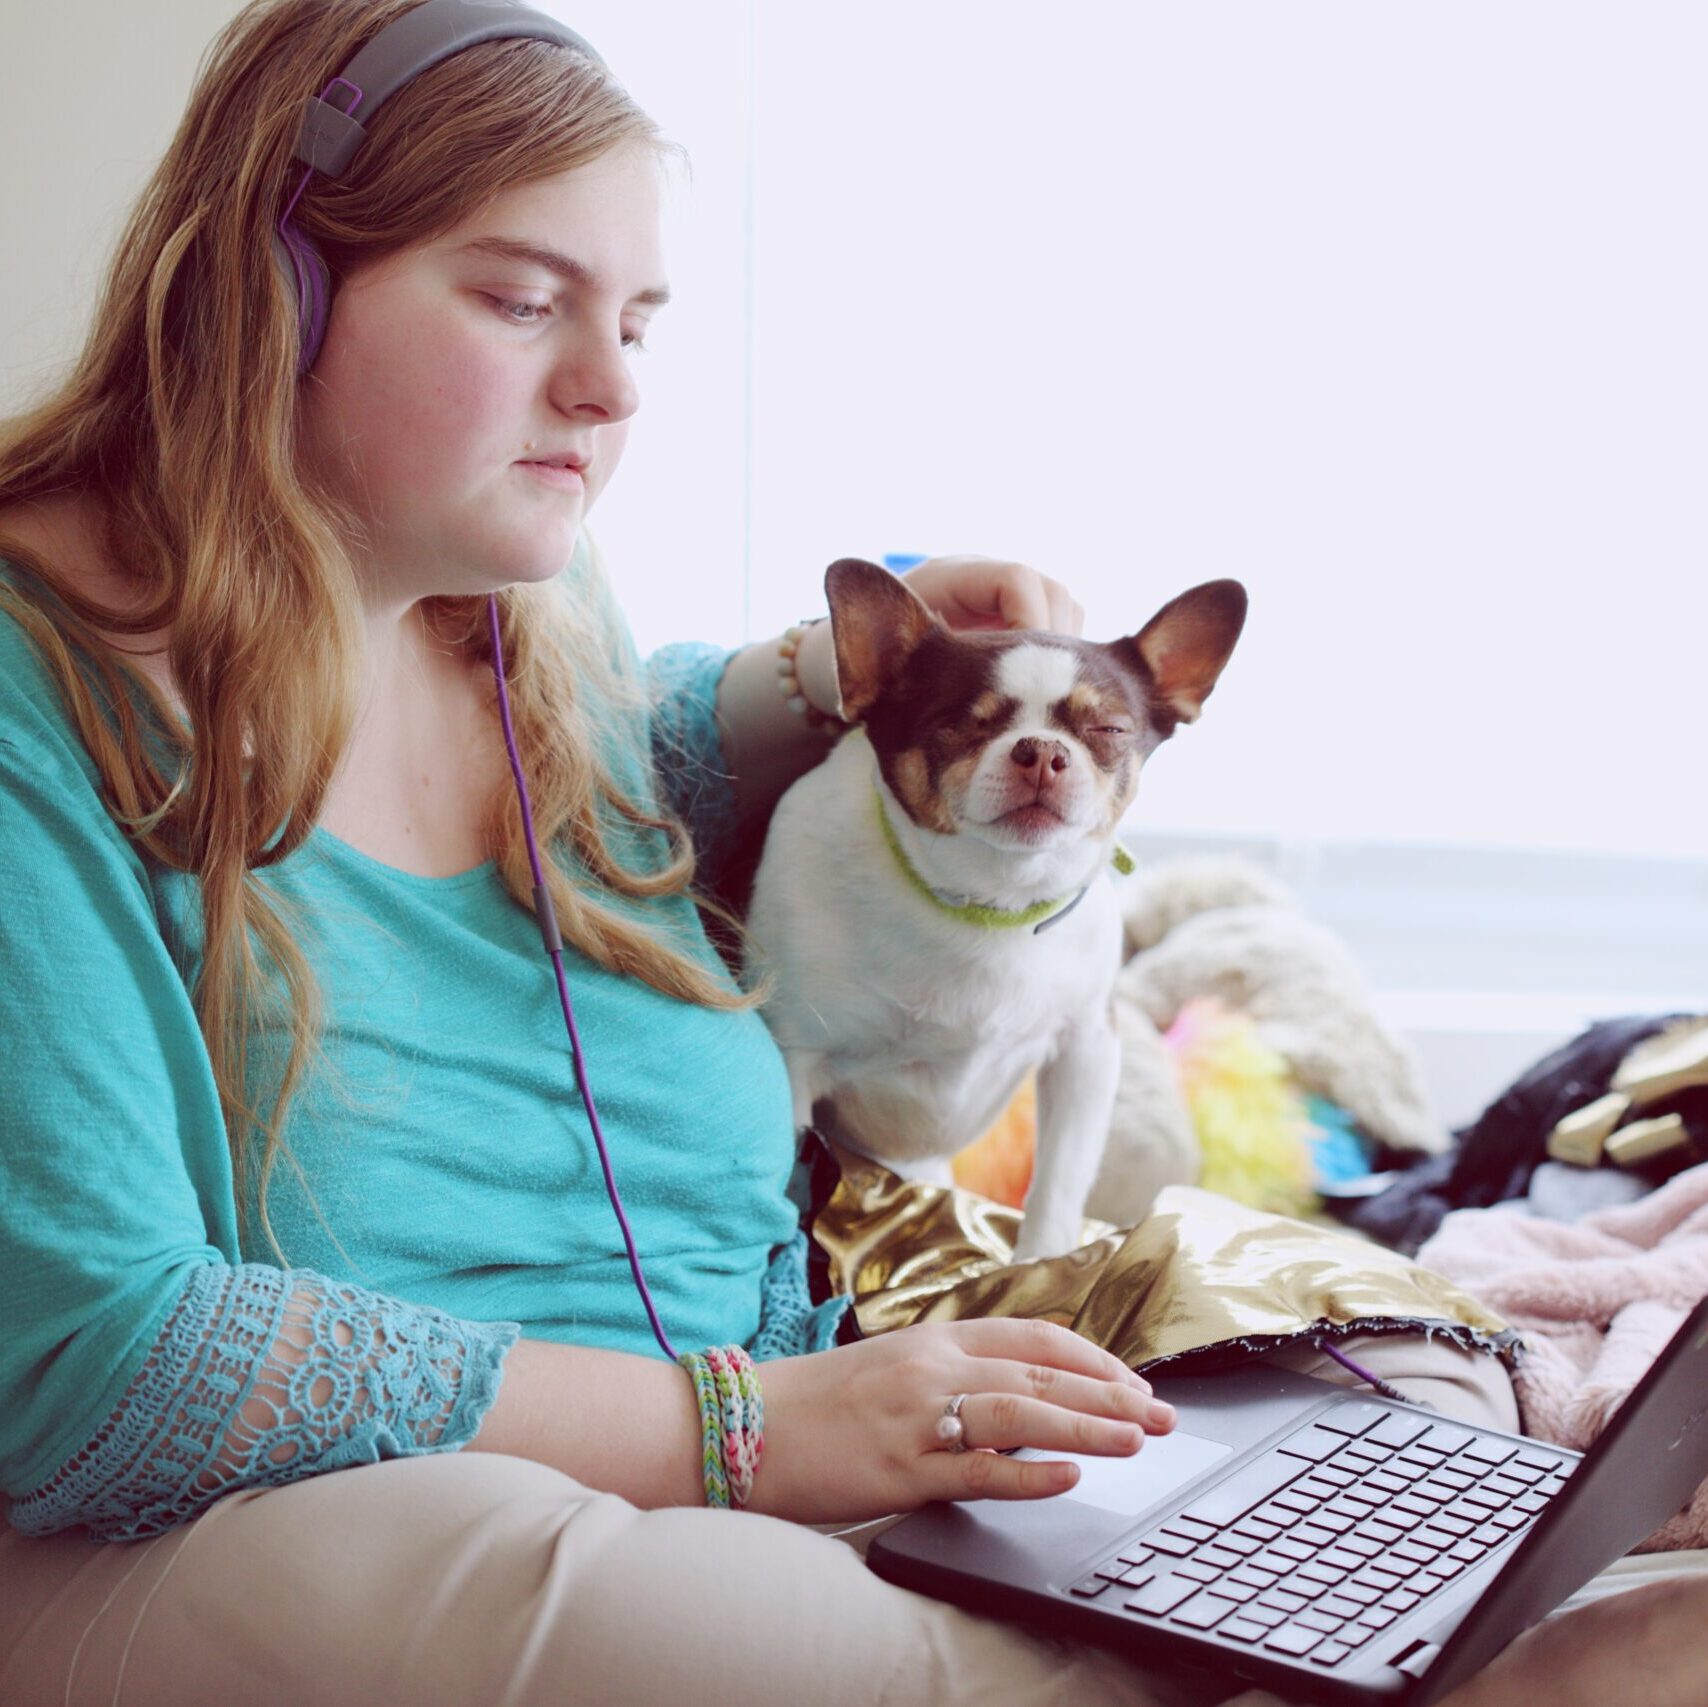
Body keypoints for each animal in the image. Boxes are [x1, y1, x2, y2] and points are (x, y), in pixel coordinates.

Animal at [744, 563, 1243, 1271]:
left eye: (1109, 732)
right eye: (958, 725)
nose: (1041, 750)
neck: (990, 905)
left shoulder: (1086, 1052)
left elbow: (1059, 1179)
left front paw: (1041, 1264)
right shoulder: (795, 1058)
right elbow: (786, 1179)